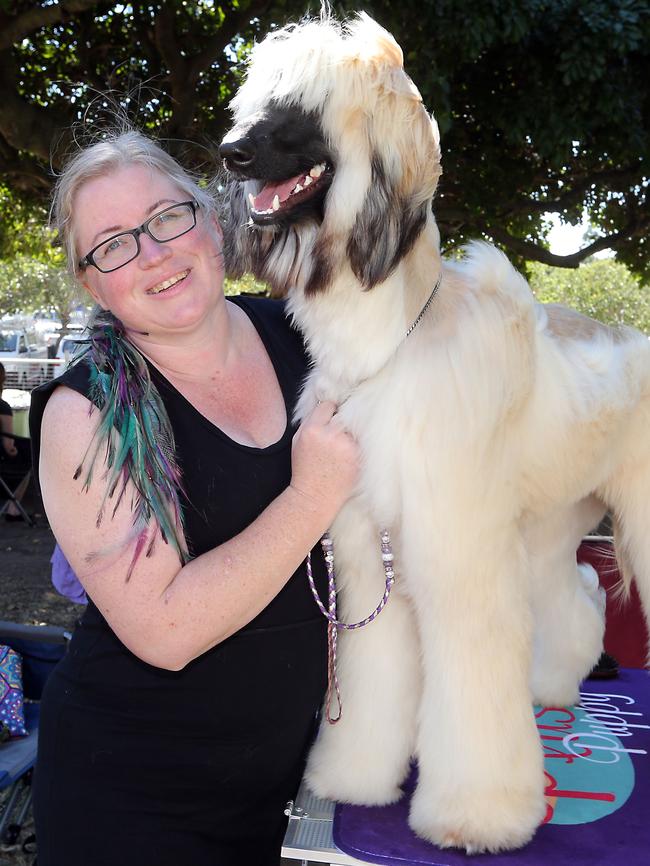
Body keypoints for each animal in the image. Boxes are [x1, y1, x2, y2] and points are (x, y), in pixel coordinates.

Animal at [219, 11, 648, 852]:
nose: (230, 152)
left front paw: (478, 814)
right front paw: (355, 774)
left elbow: (473, 678)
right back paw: (557, 682)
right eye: (257, 101)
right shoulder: (366, 547)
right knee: (575, 602)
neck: (389, 344)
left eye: (302, 107)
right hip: (554, 521)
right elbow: (376, 675)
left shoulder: (458, 550)